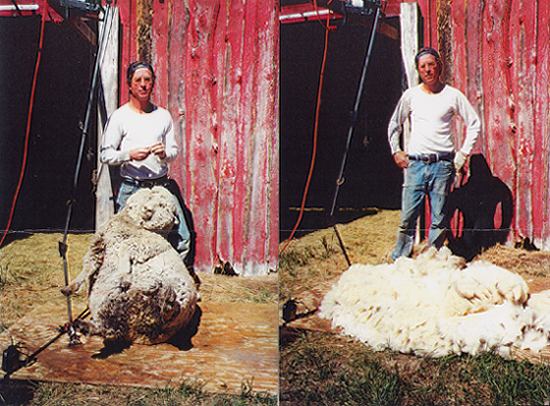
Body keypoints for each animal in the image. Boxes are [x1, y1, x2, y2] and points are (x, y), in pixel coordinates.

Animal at [62, 186, 198, 344]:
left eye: (162, 205)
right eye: (149, 198)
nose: (147, 209)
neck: (133, 224)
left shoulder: (146, 245)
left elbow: (123, 249)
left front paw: (124, 275)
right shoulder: (99, 245)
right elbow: (88, 267)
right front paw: (69, 288)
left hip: (125, 299)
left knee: (109, 328)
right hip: (125, 308)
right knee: (112, 328)